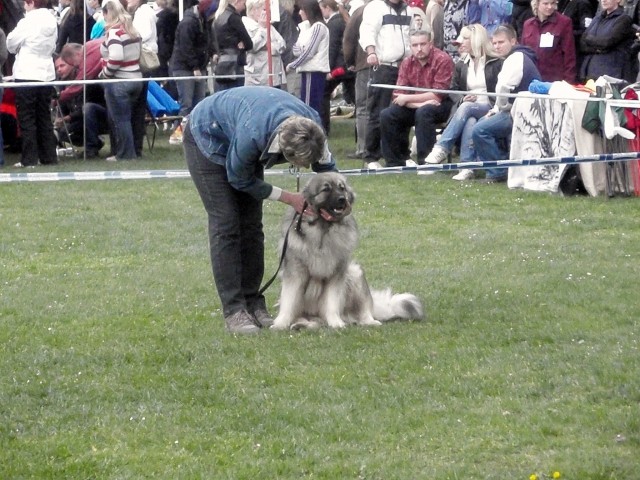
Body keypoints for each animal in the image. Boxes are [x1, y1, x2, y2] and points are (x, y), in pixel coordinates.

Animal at [272, 172, 424, 330]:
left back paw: (369, 321)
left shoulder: (336, 274)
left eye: (342, 188)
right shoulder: (295, 274)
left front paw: (336, 323)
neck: (323, 230)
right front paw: (281, 323)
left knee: (363, 311)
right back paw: (301, 324)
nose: (342, 199)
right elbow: (288, 302)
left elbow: (332, 303)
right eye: (326, 189)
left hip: (355, 275)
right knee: (315, 322)